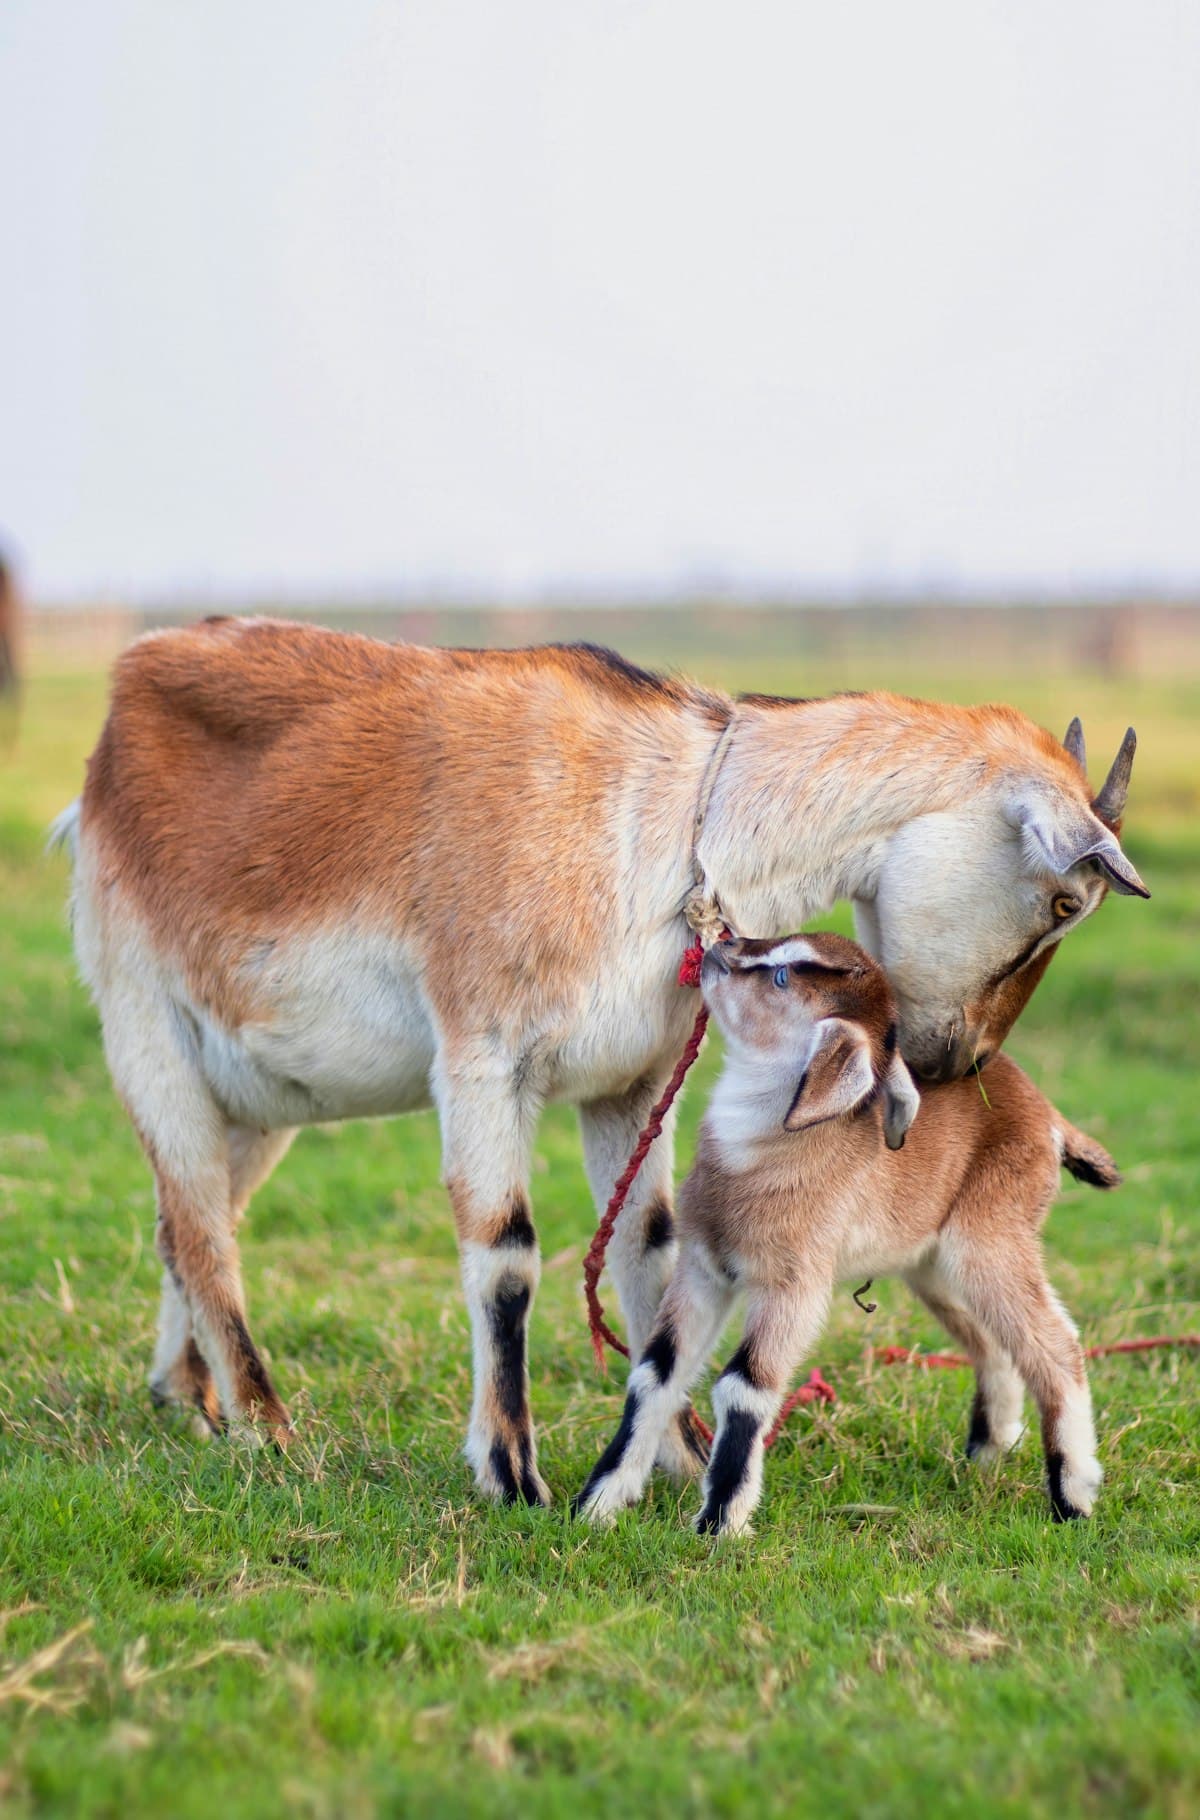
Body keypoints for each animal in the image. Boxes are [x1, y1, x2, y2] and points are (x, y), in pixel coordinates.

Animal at [575, 930, 1119, 1533]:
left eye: (782, 977)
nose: (724, 945)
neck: (761, 1149)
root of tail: (1049, 1117)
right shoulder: (702, 1268)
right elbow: (656, 1372)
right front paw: (597, 1505)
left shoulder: (795, 1285)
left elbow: (743, 1385)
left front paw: (720, 1522)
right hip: (933, 1265)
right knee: (994, 1343)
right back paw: (988, 1452)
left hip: (992, 1239)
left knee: (1058, 1345)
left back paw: (1073, 1494)